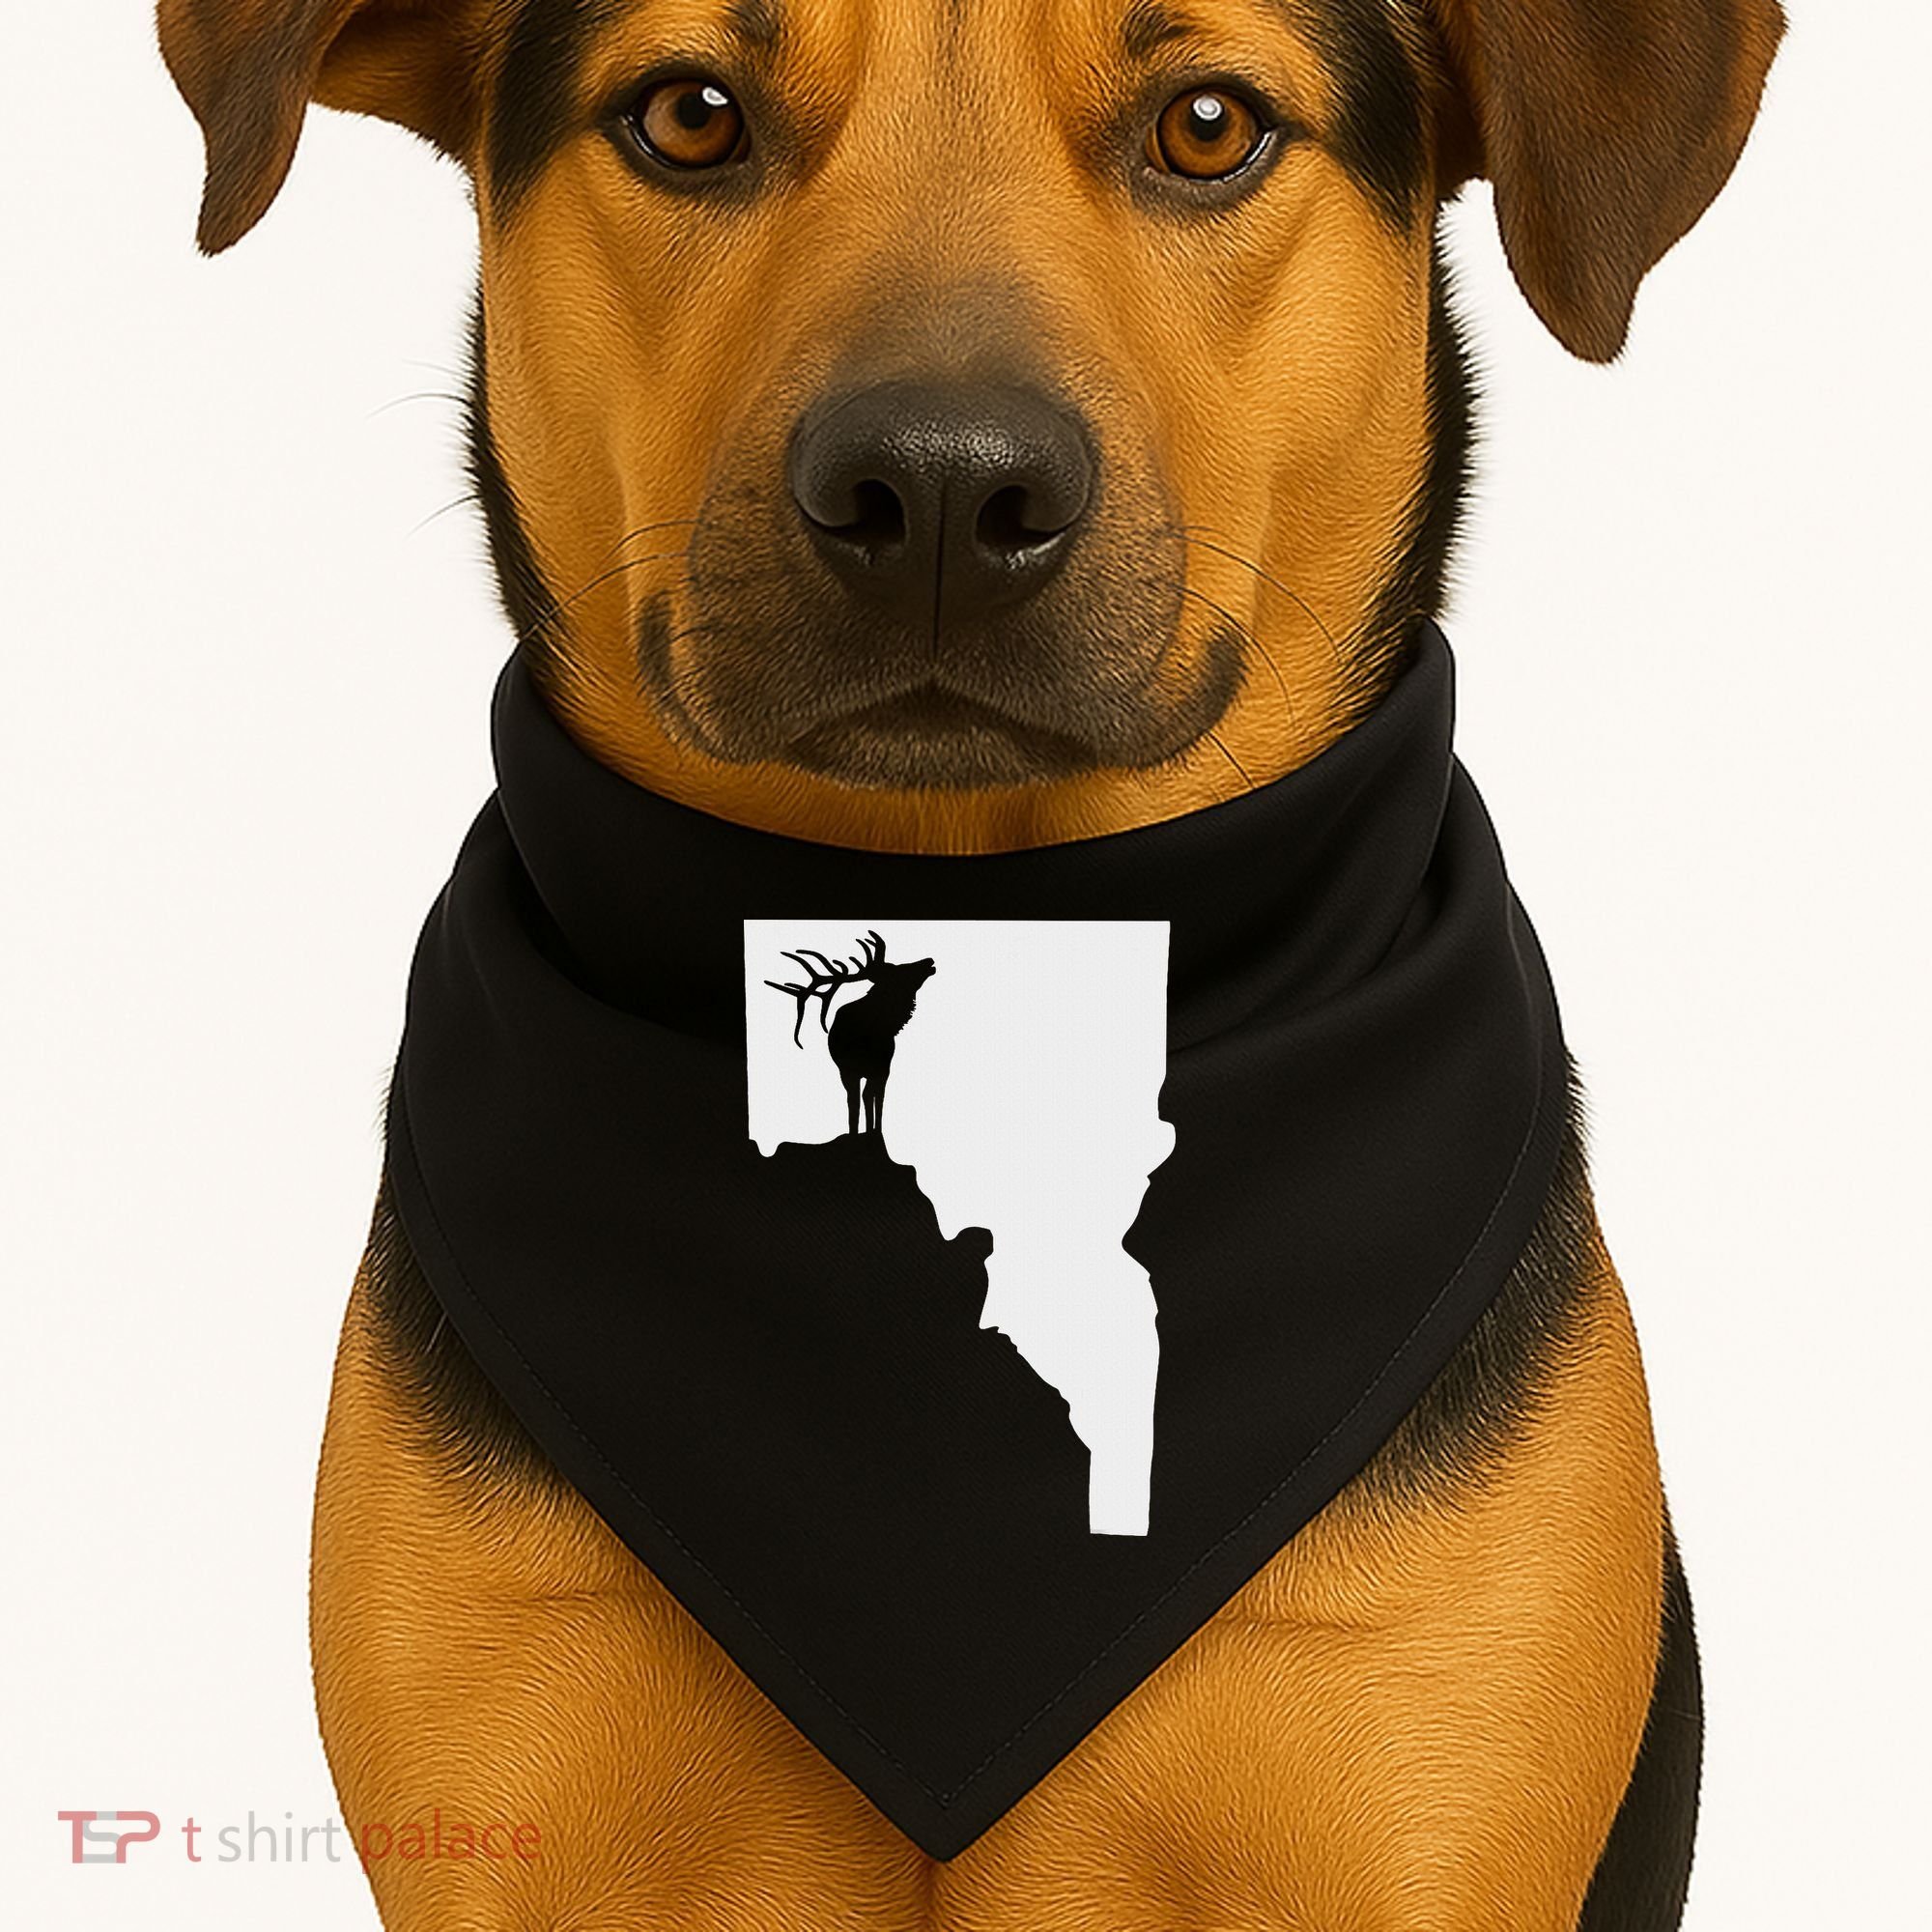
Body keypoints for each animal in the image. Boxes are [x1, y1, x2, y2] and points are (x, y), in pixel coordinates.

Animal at [768, 932, 938, 1138]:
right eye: (896, 971)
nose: (928, 961)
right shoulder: (847, 1070)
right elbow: (854, 1103)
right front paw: (856, 1134)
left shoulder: (882, 1068)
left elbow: (874, 1098)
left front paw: (874, 1132)